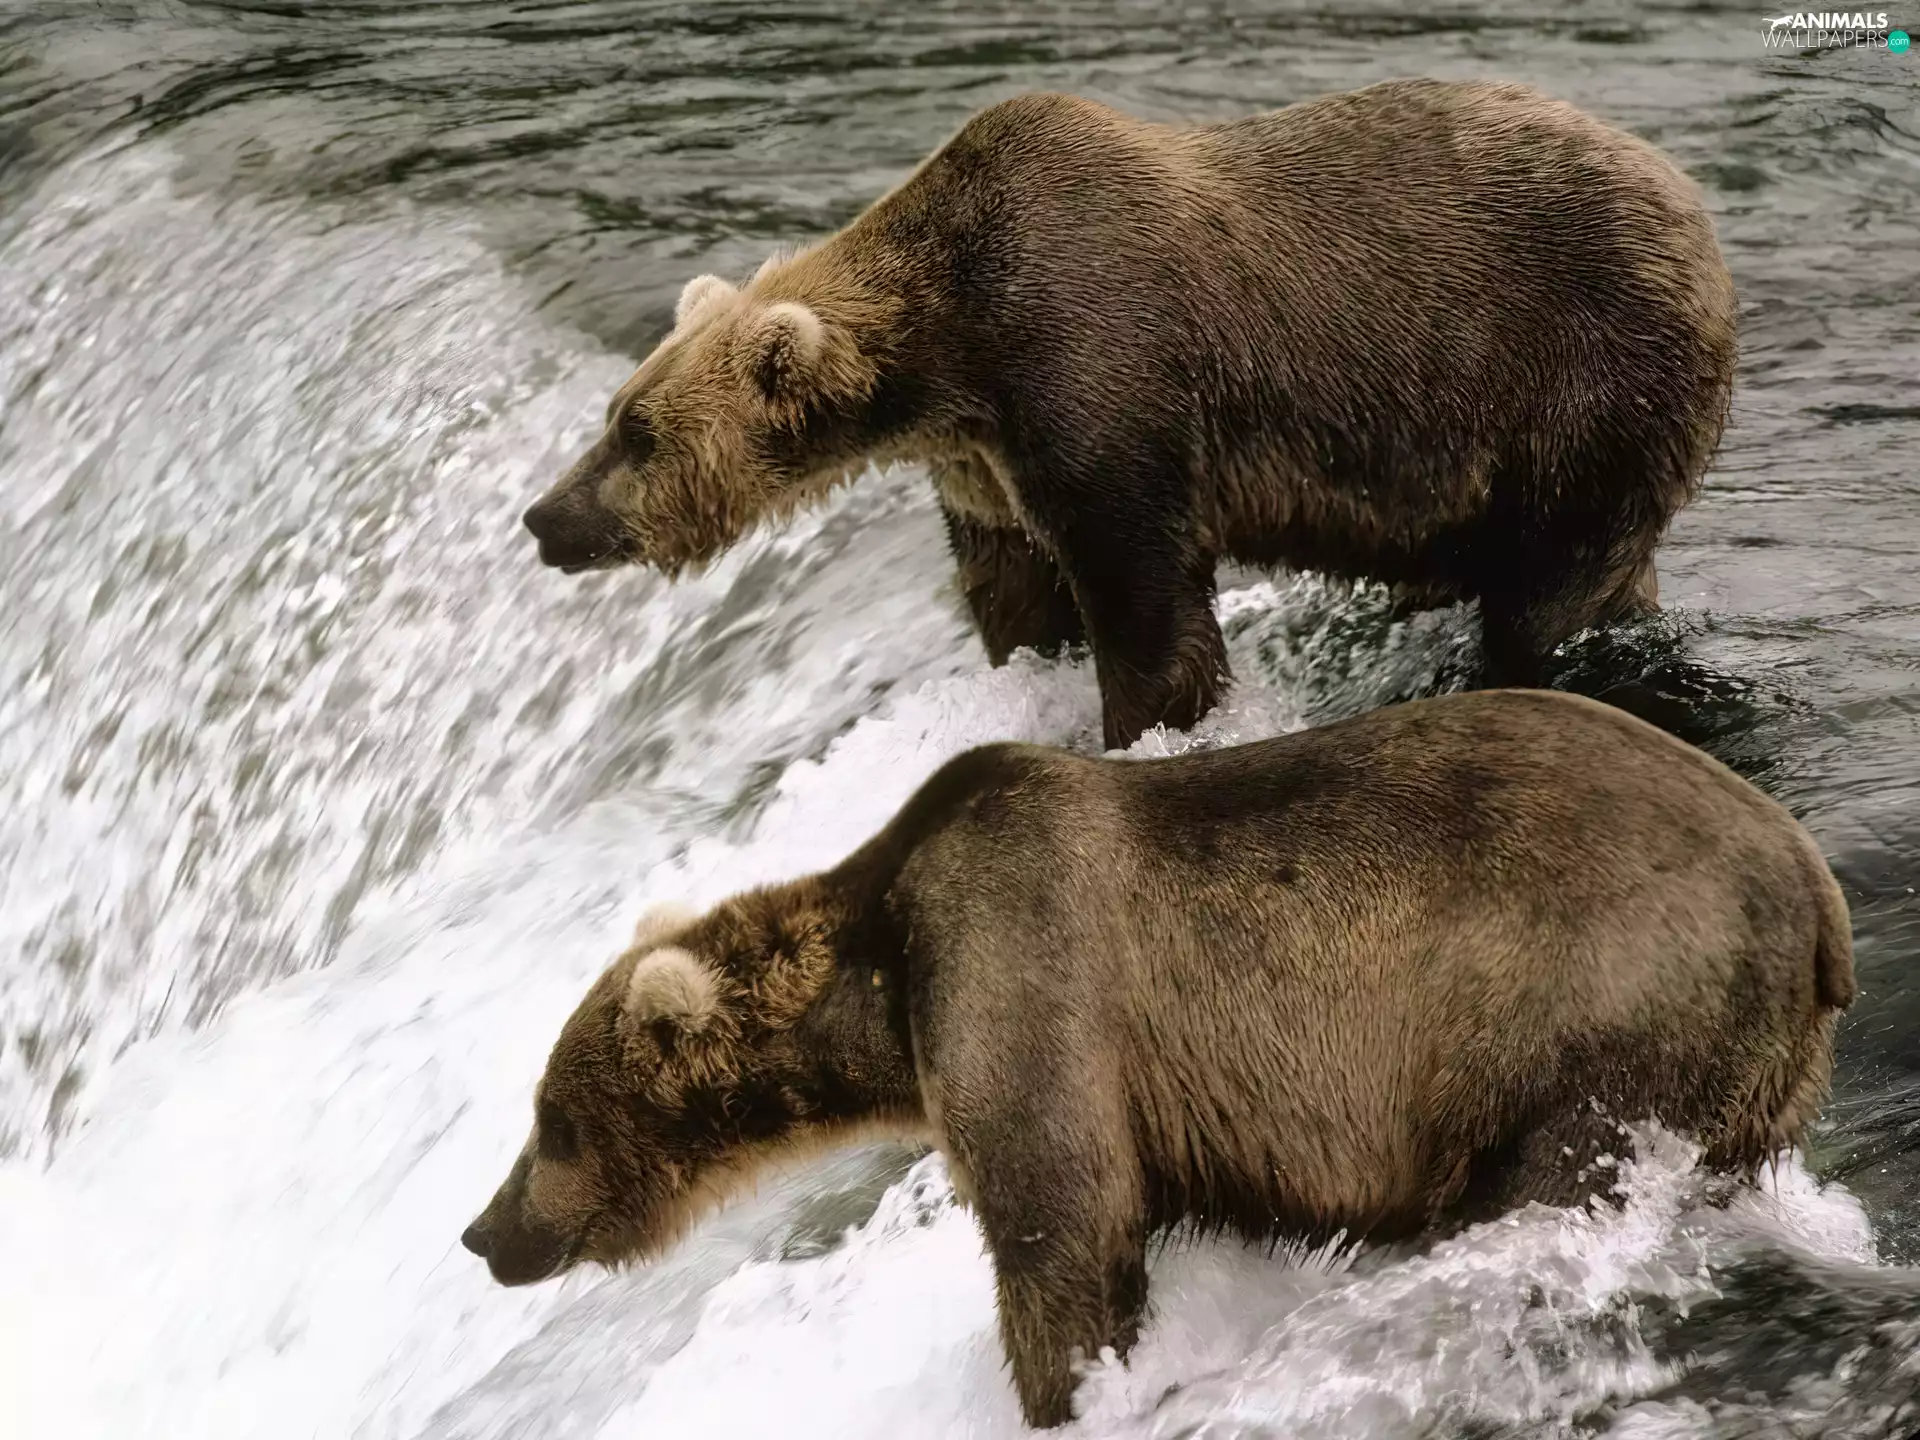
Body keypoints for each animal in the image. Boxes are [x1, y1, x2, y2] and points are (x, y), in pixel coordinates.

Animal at [460, 689, 1849, 1429]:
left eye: (552, 1119)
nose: (483, 1232)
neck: (884, 986)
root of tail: (1815, 884)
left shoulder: (1024, 981)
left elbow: (1061, 1233)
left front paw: (1059, 1392)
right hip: (1754, 1069)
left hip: (1600, 1009)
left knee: (1557, 1177)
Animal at [520, 78, 1738, 750]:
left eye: (638, 434)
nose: (542, 519)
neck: (949, 354)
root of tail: (1692, 203)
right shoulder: (985, 464)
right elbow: (1016, 594)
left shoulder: (1100, 375)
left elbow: (1145, 600)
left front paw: (1144, 729)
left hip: (1578, 375)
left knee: (1551, 588)